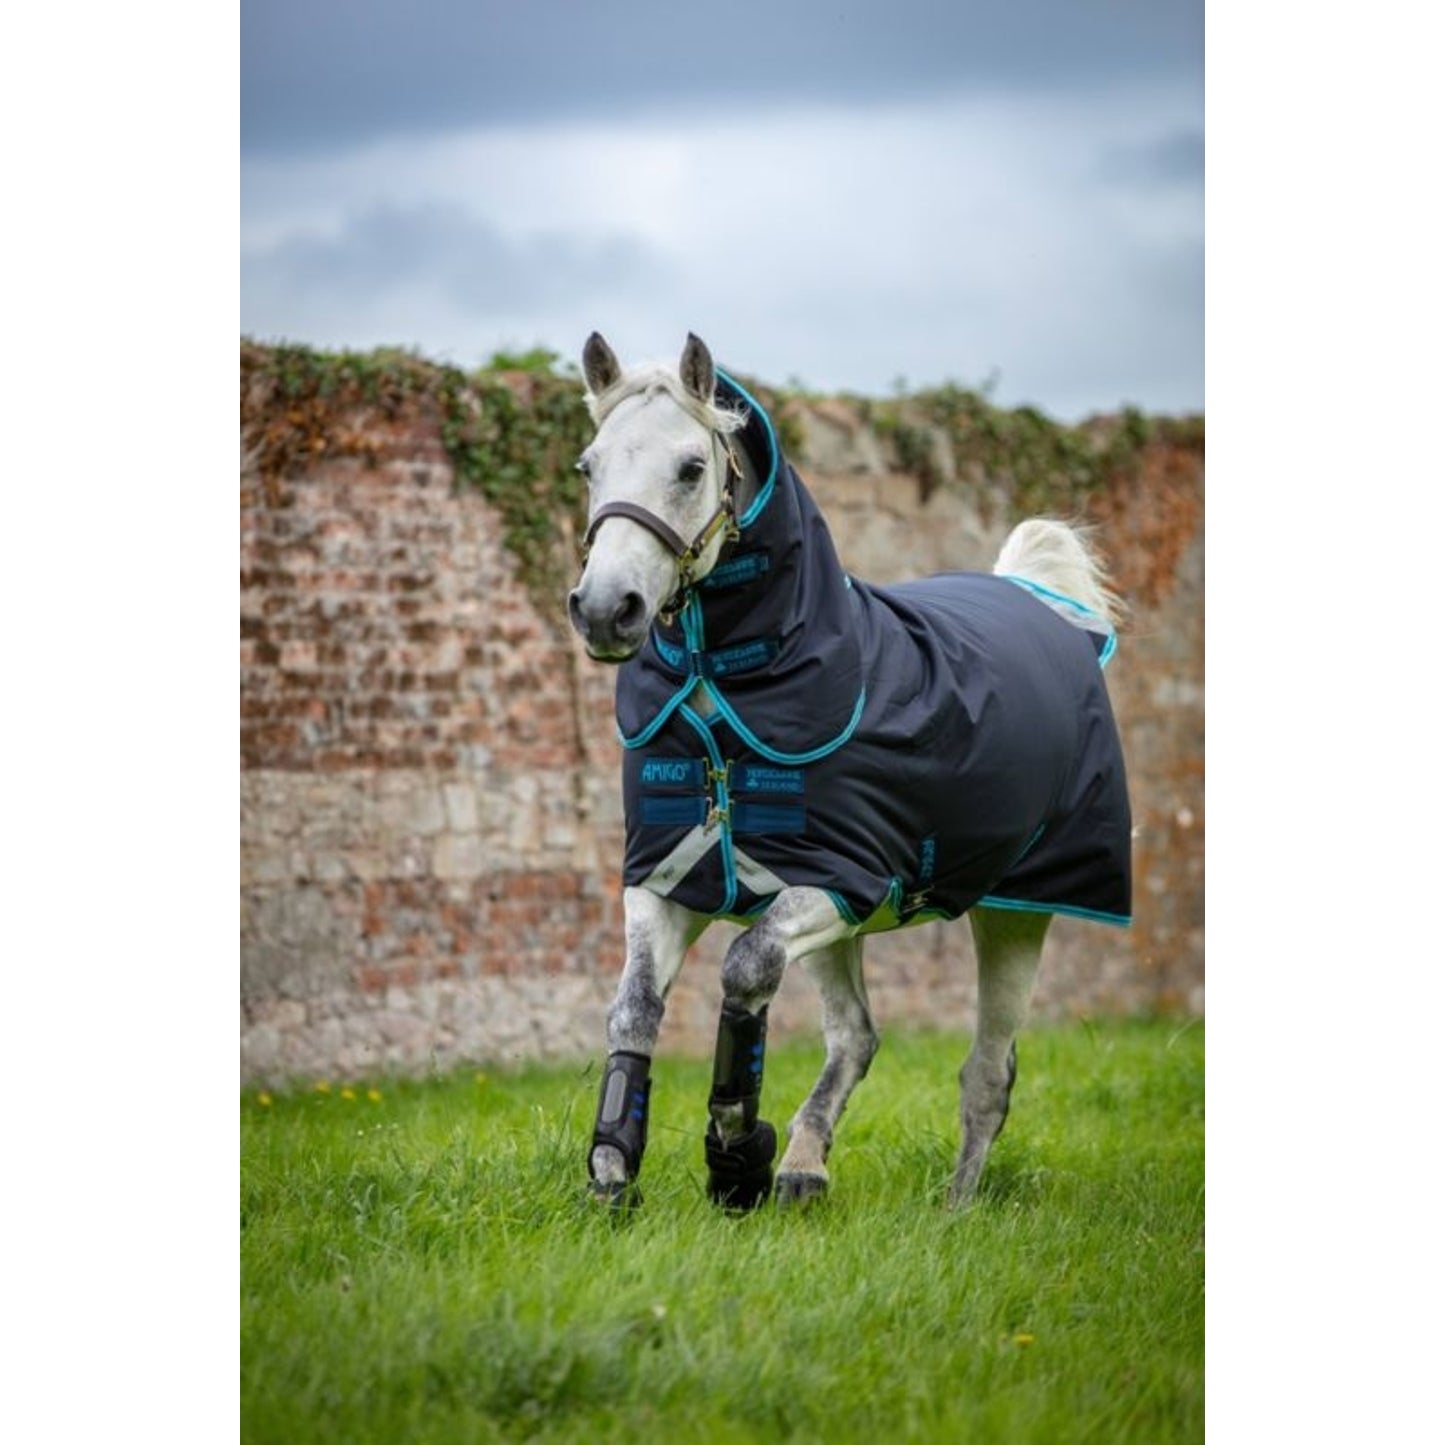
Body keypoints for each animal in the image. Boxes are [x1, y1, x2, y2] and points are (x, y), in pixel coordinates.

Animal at [567, 331, 1132, 1210]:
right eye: (589, 465)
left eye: (691, 466)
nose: (603, 610)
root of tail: (1036, 599)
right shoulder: (666, 878)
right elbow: (633, 1011)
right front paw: (614, 1170)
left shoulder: (842, 878)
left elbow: (745, 968)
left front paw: (735, 1154)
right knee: (856, 1036)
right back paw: (804, 1166)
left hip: (1016, 911)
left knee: (986, 1072)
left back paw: (953, 1209)